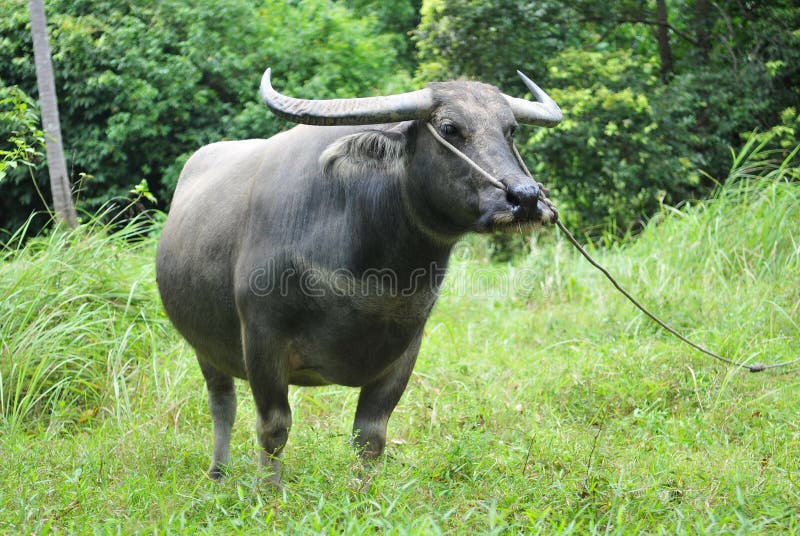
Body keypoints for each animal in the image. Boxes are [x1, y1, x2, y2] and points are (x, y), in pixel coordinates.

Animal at [156, 68, 562, 484]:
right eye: (449, 128)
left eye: (510, 129)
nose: (526, 198)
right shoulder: (261, 338)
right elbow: (274, 427)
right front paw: (268, 490)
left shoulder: (406, 349)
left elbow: (371, 433)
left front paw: (364, 488)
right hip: (204, 346)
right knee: (222, 403)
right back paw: (218, 471)